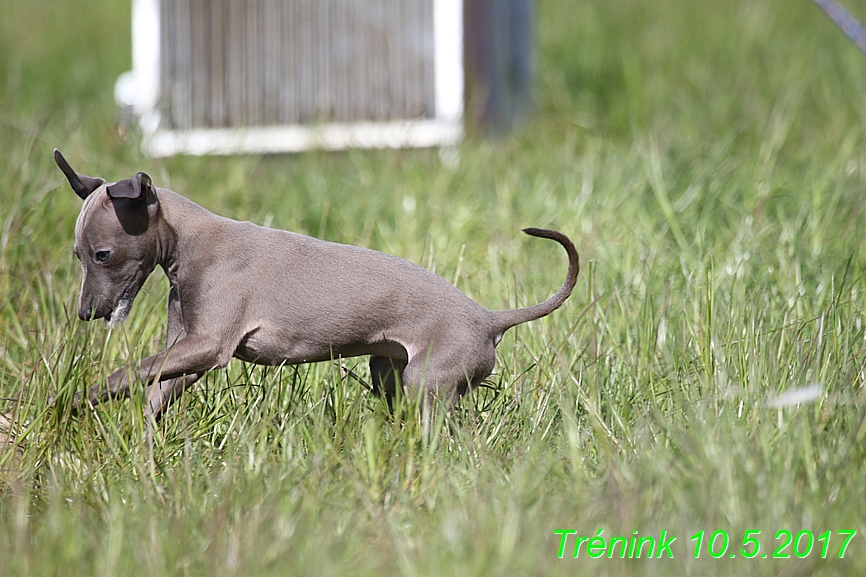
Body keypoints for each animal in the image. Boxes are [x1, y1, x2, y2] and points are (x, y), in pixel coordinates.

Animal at [55, 148, 580, 426]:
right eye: (77, 256)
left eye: (103, 255)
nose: (85, 314)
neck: (193, 242)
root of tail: (490, 319)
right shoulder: (186, 350)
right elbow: (153, 389)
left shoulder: (209, 346)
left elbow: (127, 372)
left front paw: (73, 402)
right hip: (388, 374)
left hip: (426, 386)